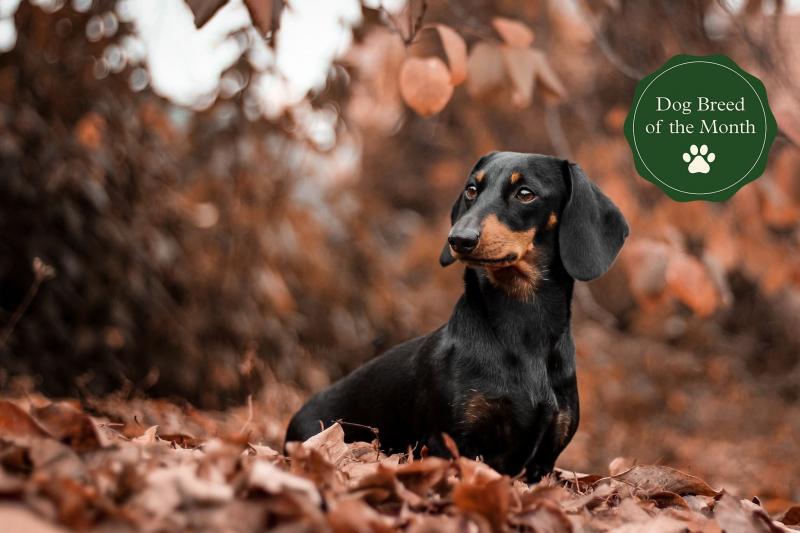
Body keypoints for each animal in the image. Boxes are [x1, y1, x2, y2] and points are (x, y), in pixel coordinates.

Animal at [284, 152, 628, 480]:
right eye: (472, 190)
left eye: (525, 193)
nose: (459, 238)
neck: (523, 331)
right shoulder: (450, 442)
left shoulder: (544, 458)